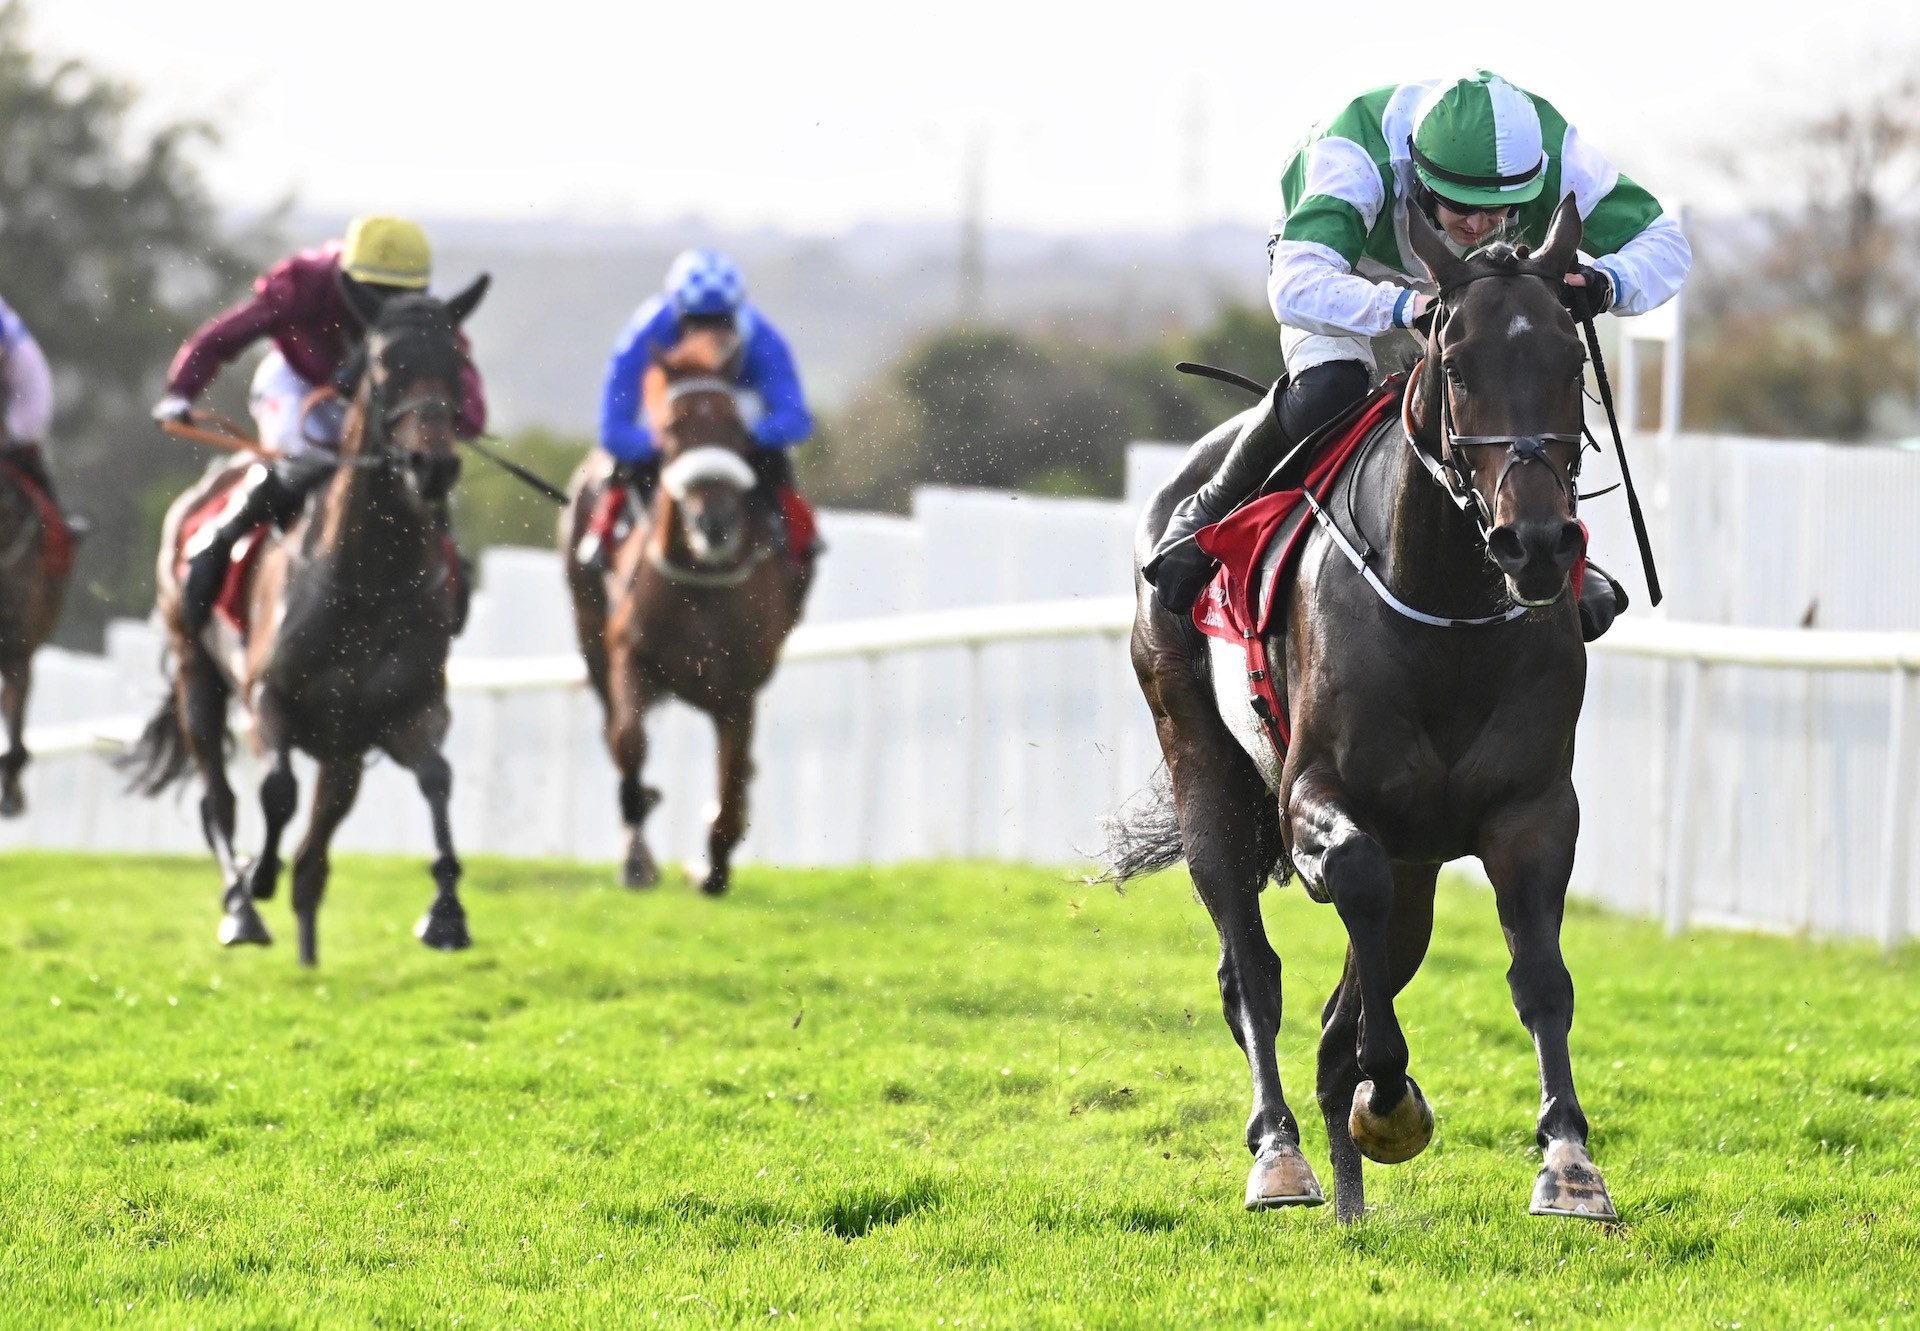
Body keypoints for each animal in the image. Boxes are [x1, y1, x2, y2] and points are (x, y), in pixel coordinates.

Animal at [122, 278, 487, 964]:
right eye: (384, 366)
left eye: (456, 366)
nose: (432, 466)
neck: (367, 578)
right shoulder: (271, 699)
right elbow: (276, 792)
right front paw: (257, 879)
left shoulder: (404, 713)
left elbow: (438, 779)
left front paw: (447, 914)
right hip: (196, 674)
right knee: (220, 800)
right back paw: (241, 906)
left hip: (343, 754)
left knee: (315, 858)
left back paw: (309, 955)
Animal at [560, 328, 806, 898]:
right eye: (672, 428)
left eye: (736, 428)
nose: (714, 522)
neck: (702, 584)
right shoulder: (630, 657)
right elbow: (628, 742)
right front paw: (638, 853)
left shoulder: (738, 689)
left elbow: (733, 780)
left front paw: (712, 867)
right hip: (590, 637)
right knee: (613, 730)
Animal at [1113, 192, 1620, 1221]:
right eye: (1456, 364)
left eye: (1568, 362)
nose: (1538, 543)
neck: (1449, 610)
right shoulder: (1316, 796)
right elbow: (1351, 902)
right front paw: (1389, 1100)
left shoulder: (1532, 810)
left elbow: (1539, 975)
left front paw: (1569, 1159)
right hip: (1199, 763)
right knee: (1251, 972)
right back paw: (1282, 1154)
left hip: (1421, 856)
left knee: (1351, 985)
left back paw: (1347, 1195)